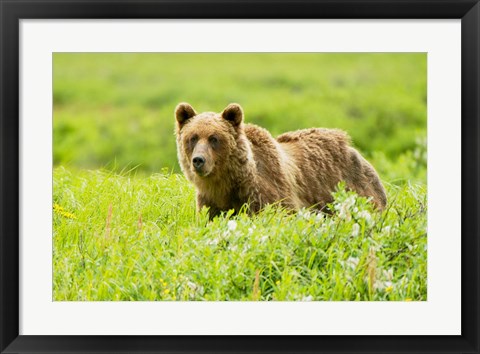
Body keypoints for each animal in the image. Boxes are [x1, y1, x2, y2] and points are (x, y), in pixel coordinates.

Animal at [174, 102, 388, 218]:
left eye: (214, 138)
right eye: (193, 137)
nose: (198, 160)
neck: (228, 183)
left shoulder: (267, 191)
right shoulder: (210, 202)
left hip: (354, 189)